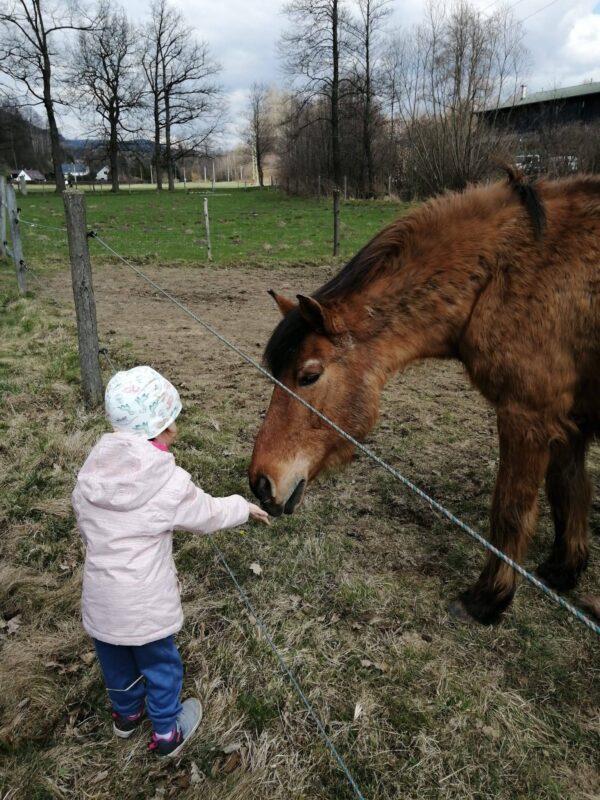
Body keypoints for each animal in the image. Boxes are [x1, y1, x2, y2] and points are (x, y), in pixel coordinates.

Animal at [248, 173, 600, 624]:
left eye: (309, 375)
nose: (260, 483)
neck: (509, 272)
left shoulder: (527, 415)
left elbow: (511, 508)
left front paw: (487, 599)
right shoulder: (568, 418)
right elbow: (569, 488)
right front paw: (564, 569)